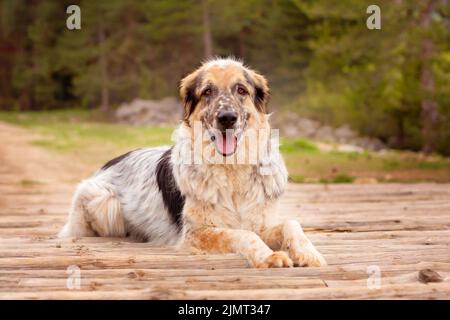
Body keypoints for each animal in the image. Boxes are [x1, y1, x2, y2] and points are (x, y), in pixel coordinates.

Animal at [59, 57, 326, 268]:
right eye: (207, 91)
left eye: (241, 90)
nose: (227, 118)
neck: (232, 169)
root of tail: (109, 162)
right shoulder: (197, 233)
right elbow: (243, 234)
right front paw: (269, 257)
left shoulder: (261, 222)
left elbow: (291, 224)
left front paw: (309, 253)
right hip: (106, 200)